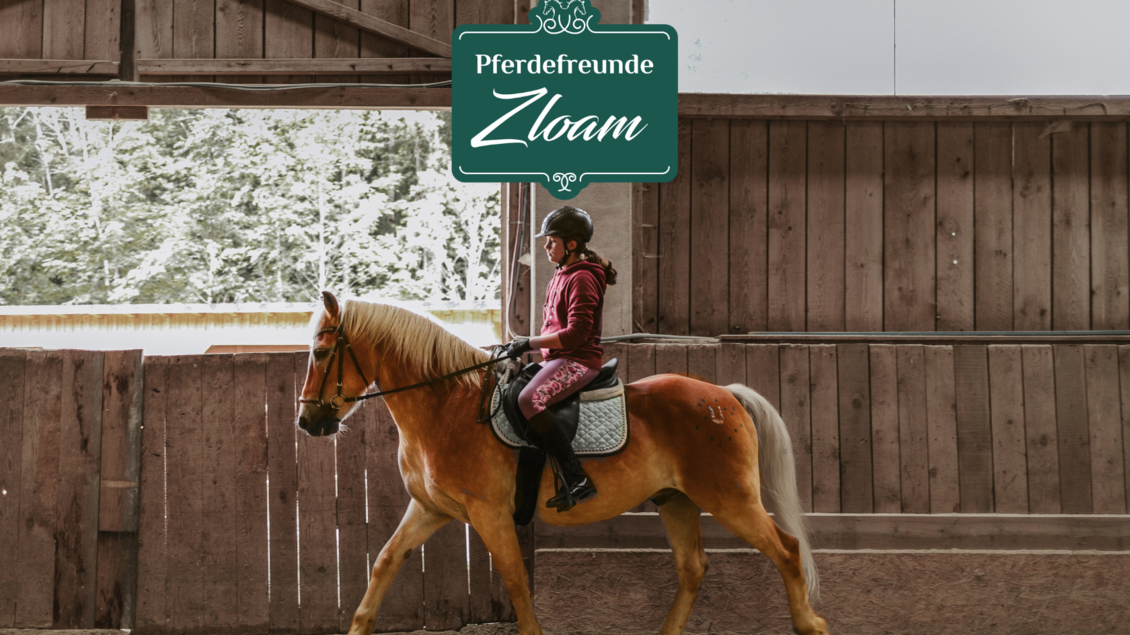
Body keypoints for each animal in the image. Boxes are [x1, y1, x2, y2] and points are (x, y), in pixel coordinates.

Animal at [296, 291, 829, 635]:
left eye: (320, 352)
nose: (306, 422)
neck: (446, 407)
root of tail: (725, 395)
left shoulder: (489, 514)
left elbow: (516, 581)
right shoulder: (430, 509)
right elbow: (385, 563)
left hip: (729, 498)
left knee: (786, 550)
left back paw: (810, 625)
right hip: (676, 500)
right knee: (693, 566)